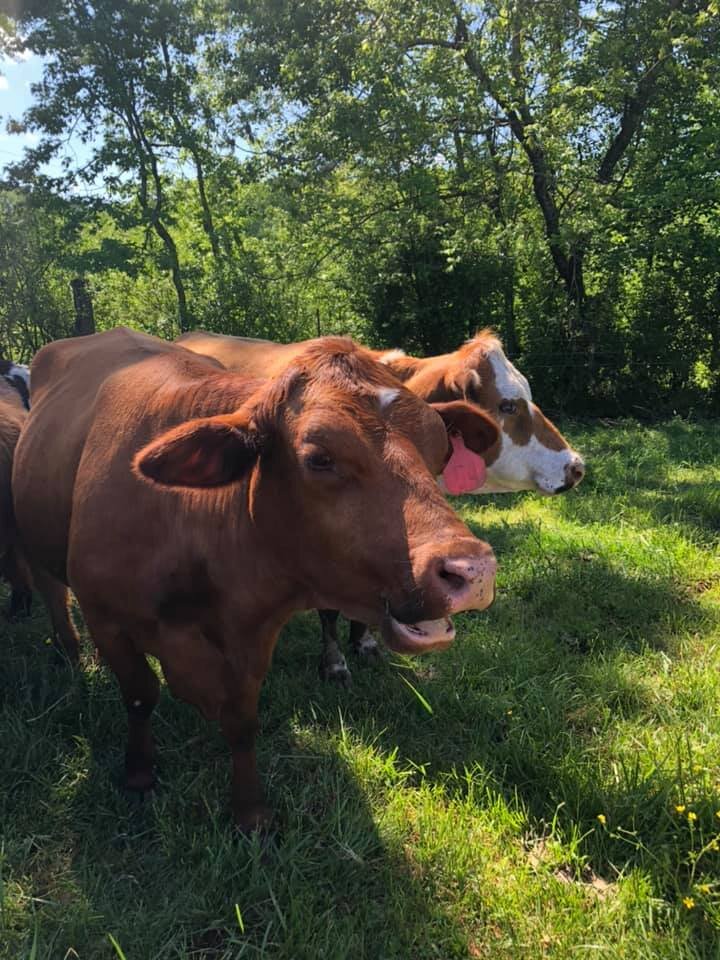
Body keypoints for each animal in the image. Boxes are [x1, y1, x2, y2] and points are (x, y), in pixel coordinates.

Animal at [13, 327, 499, 830]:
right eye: (319, 458)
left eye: (440, 448)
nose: (471, 569)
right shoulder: (105, 617)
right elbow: (140, 696)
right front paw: (139, 774)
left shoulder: (253, 632)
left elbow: (242, 721)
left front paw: (251, 811)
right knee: (52, 593)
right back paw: (71, 654)